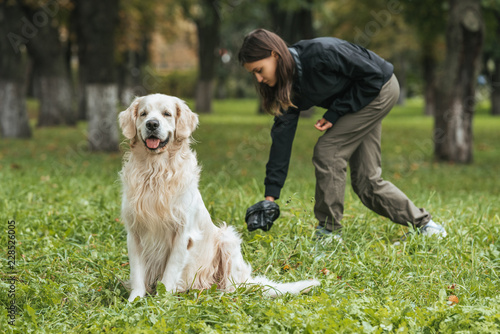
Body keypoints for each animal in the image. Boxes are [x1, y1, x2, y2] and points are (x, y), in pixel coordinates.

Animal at [119, 92, 318, 302]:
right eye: (143, 114)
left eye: (167, 114)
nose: (152, 124)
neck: (155, 171)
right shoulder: (134, 232)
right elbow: (137, 273)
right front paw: (134, 301)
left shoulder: (182, 234)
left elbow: (170, 273)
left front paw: (161, 301)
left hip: (227, 239)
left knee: (232, 286)